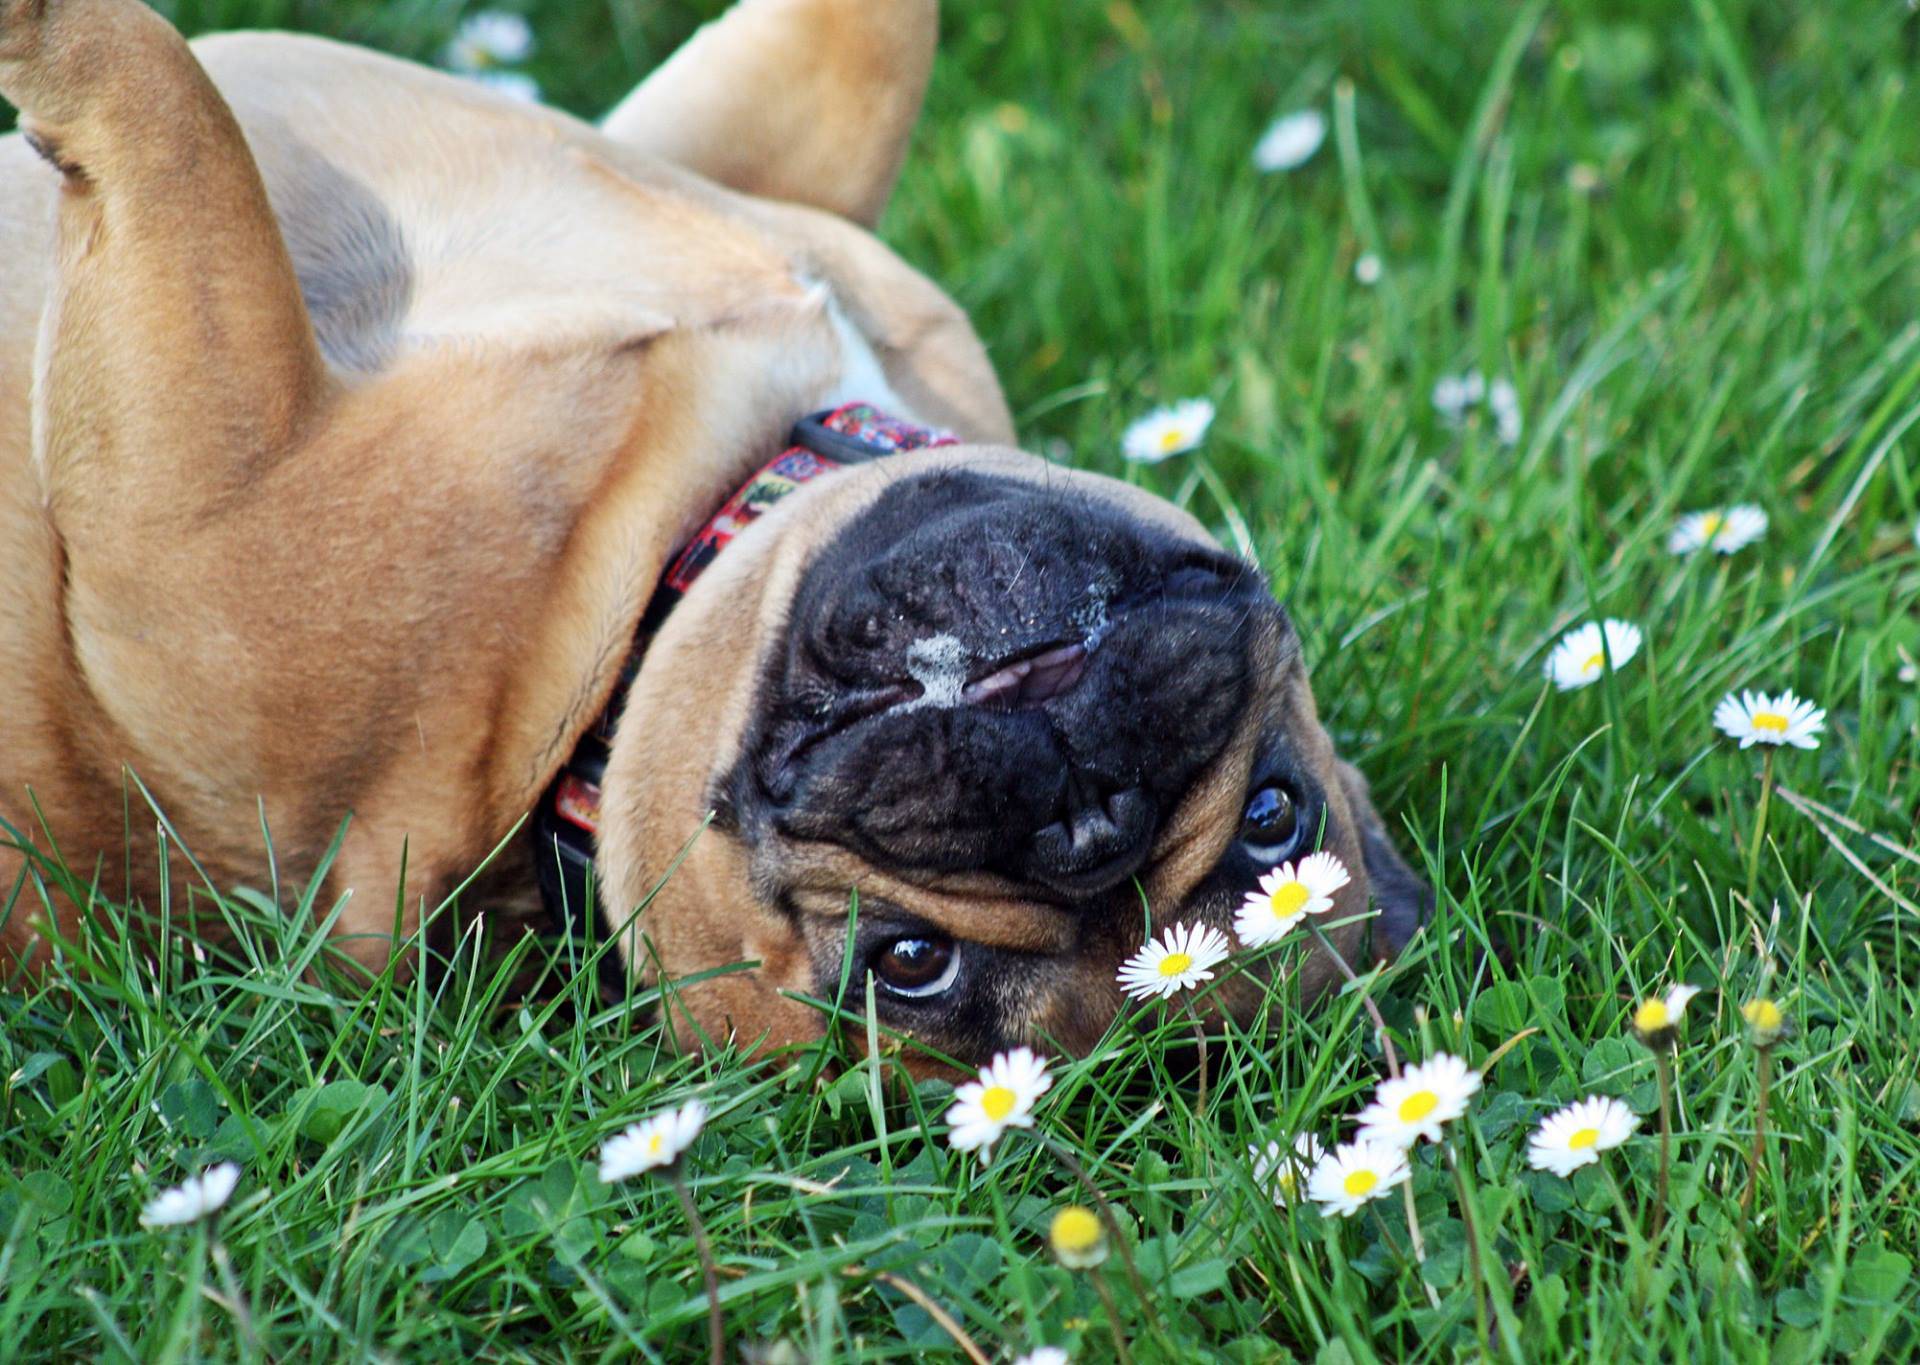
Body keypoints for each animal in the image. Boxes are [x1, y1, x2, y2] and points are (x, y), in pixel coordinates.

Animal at [0, 0, 1428, 1067]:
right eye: (1277, 817)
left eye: (909, 965)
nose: (1089, 813)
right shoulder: (754, 142)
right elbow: (873, 38)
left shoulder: (200, 483)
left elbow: (172, 113)